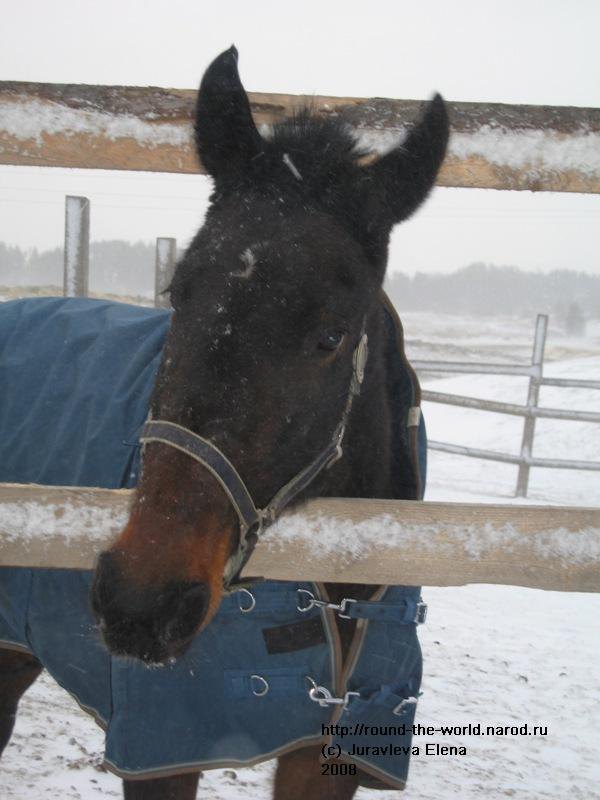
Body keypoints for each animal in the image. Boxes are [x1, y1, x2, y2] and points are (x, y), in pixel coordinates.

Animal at [0, 47, 448, 796]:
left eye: (331, 335)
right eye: (178, 292)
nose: (141, 602)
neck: (344, 589)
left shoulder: (328, 757)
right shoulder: (164, 752)